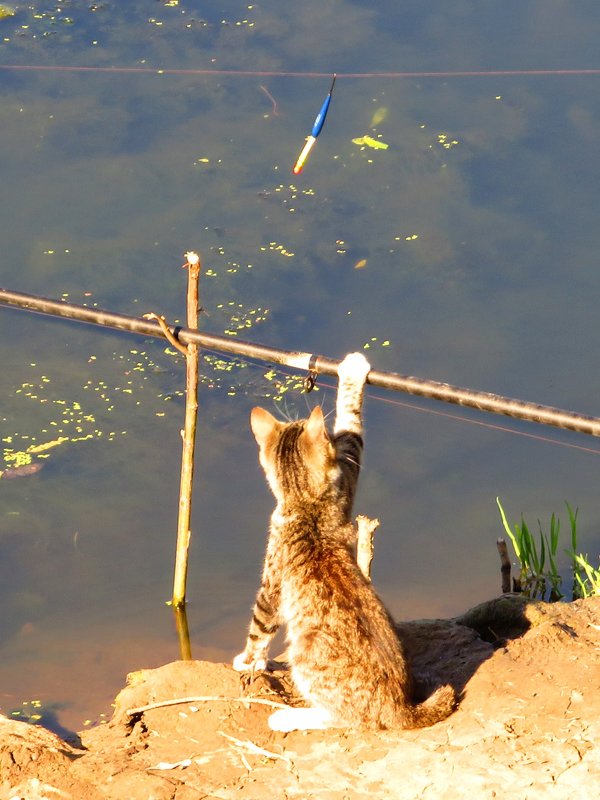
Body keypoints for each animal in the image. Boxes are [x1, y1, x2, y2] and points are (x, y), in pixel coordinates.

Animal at [234, 352, 454, 732]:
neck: (306, 502)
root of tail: (401, 707)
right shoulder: (346, 473)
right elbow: (351, 428)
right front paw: (352, 372)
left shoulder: (271, 584)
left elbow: (259, 628)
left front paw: (248, 660)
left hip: (306, 652)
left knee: (344, 719)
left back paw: (289, 716)